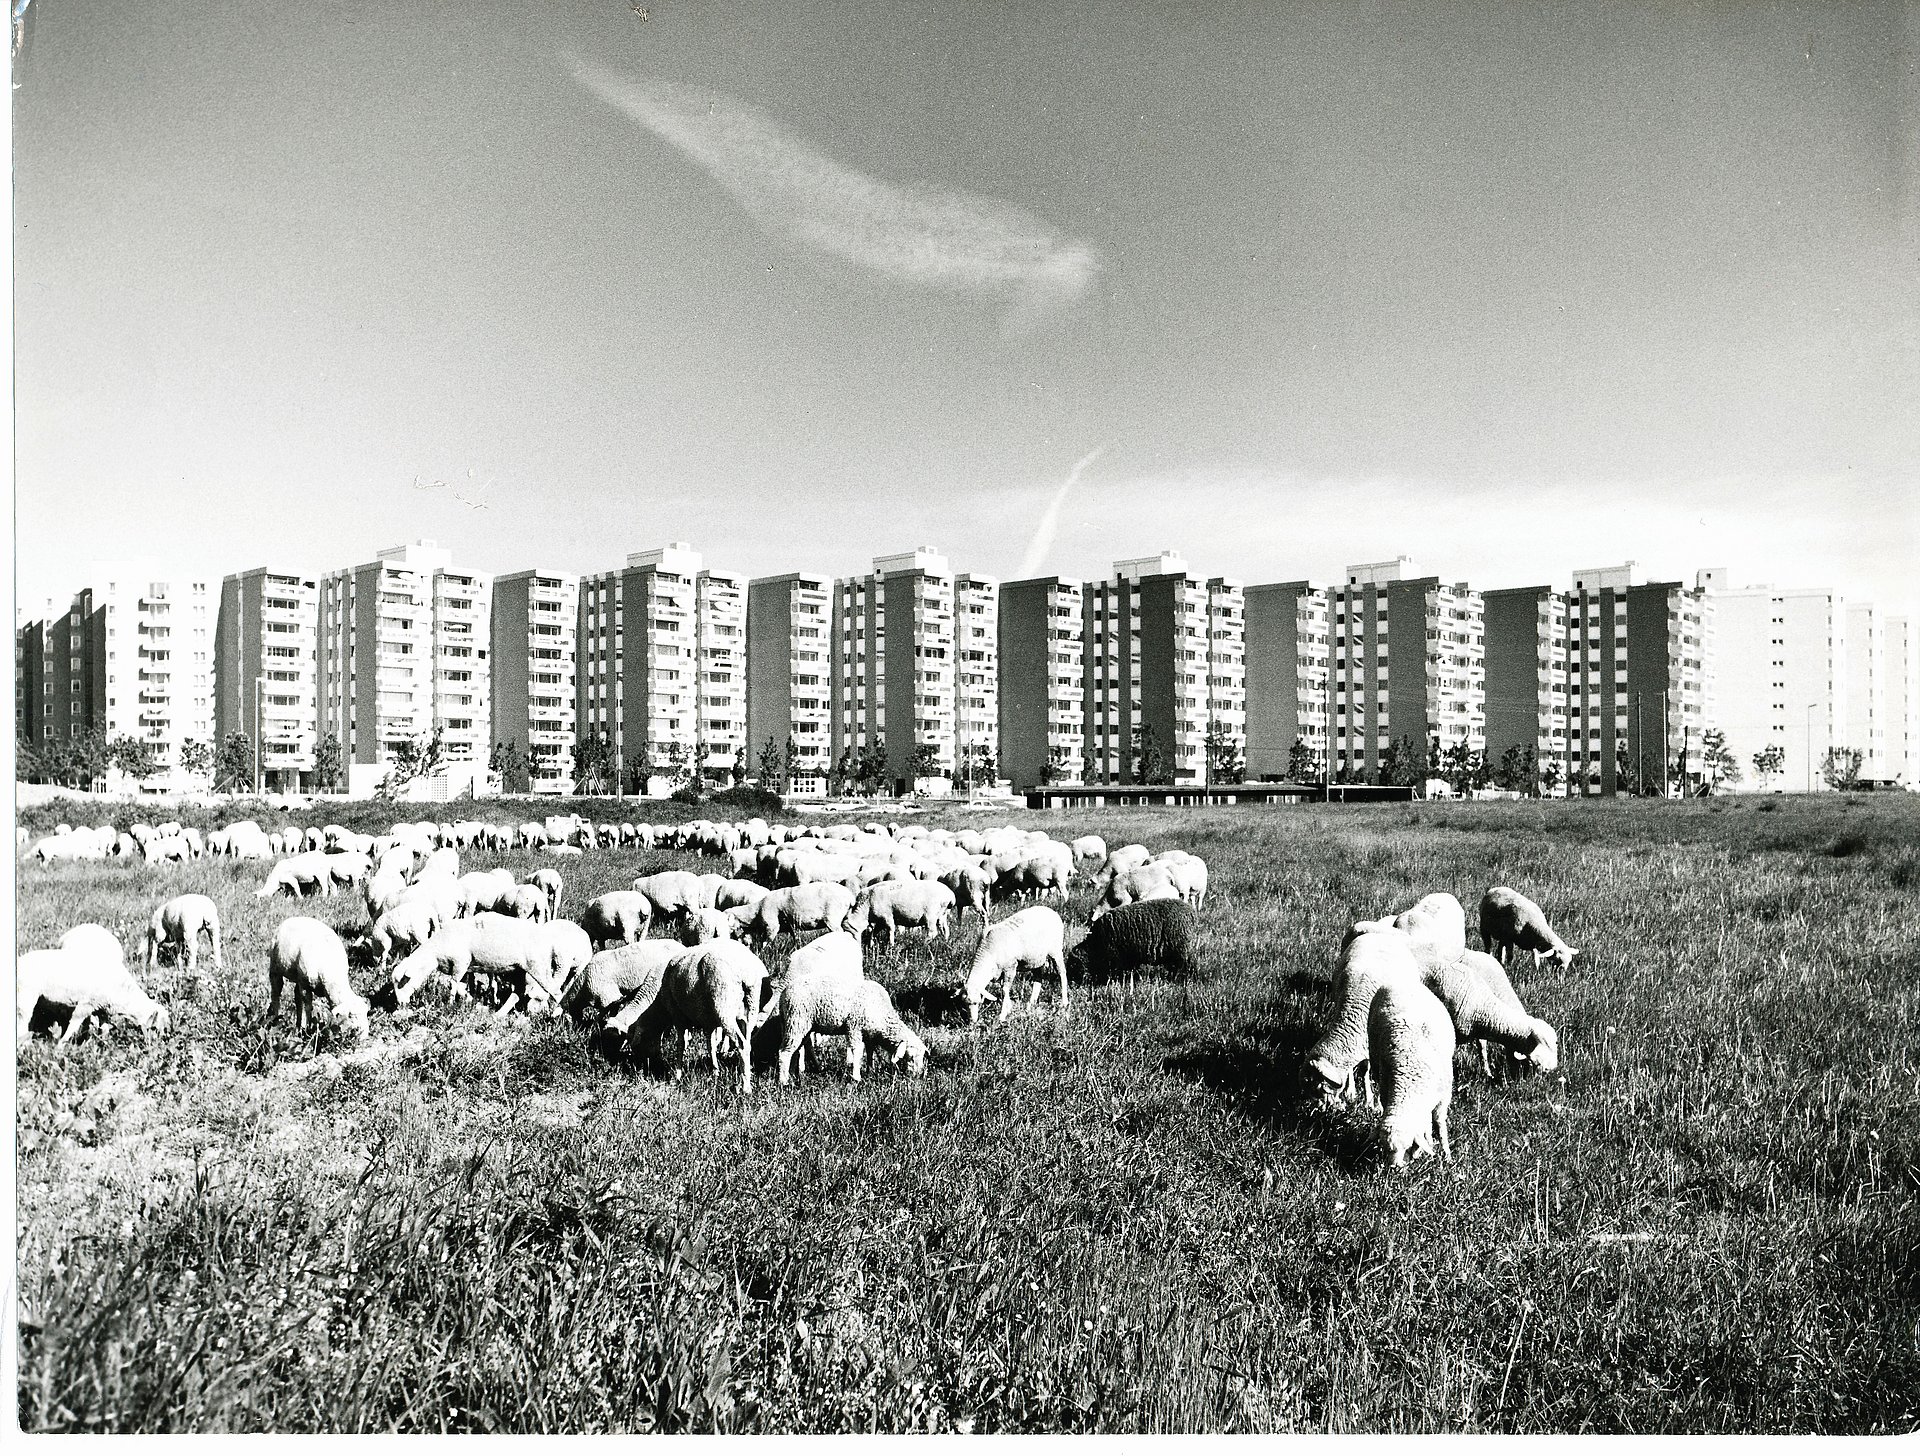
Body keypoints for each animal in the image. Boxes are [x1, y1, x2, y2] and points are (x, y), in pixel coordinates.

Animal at [756, 933, 921, 1083]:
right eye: (912, 1057)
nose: (918, 1076)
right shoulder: (855, 1026)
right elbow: (857, 1049)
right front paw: (856, 1076)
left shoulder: (868, 1033)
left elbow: (869, 1051)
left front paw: (869, 1069)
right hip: (797, 1021)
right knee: (786, 1051)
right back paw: (784, 1080)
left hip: (798, 1023)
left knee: (793, 1048)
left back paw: (791, 1074)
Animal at [1067, 902, 1198, 991]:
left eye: (1073, 965)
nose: (1070, 982)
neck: (1095, 945)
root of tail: (1191, 912)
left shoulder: (1117, 959)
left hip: (1180, 952)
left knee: (1182, 968)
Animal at [1367, 979, 1451, 1175]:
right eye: (1385, 1149)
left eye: (1406, 1146)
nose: (1394, 1169)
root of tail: (1401, 981)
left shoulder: (1442, 1097)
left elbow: (1439, 1124)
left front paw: (1445, 1155)